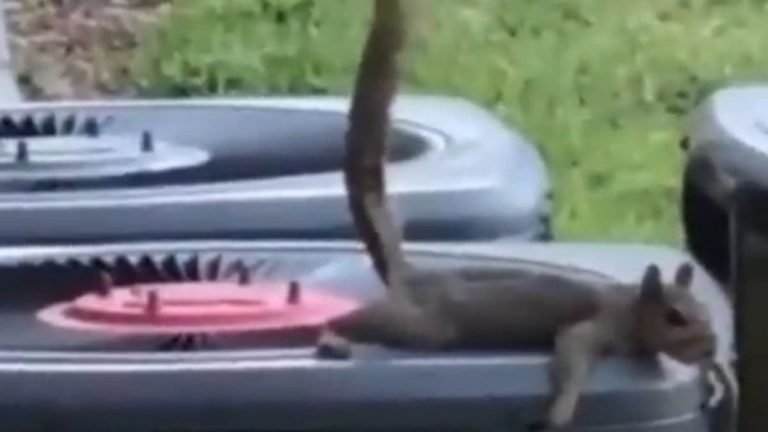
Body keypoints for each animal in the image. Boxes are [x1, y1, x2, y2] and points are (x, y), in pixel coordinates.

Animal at [316, 1, 723, 430]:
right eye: (675, 317)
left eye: (706, 310)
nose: (711, 347)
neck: (629, 306)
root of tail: (410, 277)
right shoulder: (592, 327)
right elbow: (570, 355)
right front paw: (561, 412)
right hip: (423, 324)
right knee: (359, 319)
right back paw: (332, 336)